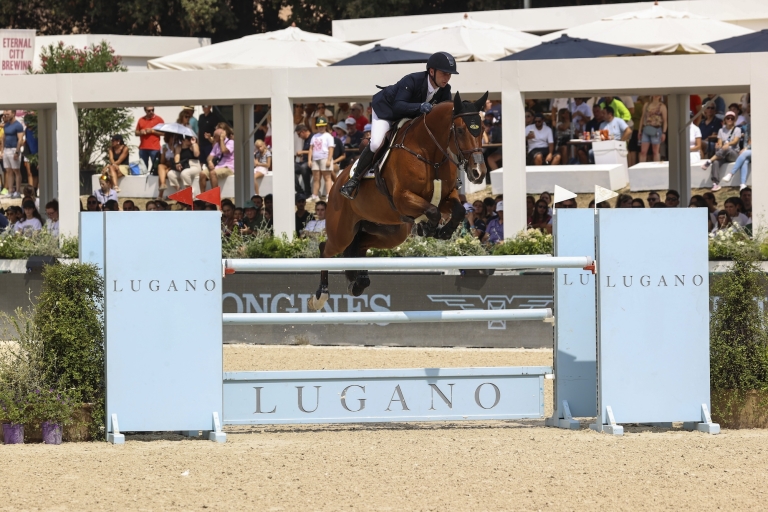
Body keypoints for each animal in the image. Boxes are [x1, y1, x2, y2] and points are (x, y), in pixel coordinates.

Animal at [308, 90, 488, 310]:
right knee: (326, 249)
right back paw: (320, 296)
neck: (429, 152)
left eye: (482, 129)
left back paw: (358, 283)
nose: (478, 173)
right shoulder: (402, 197)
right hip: (342, 232)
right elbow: (432, 211)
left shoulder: (446, 197)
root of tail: (335, 185)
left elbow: (458, 210)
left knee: (359, 245)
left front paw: (443, 232)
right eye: (461, 130)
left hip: (391, 233)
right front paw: (429, 228)